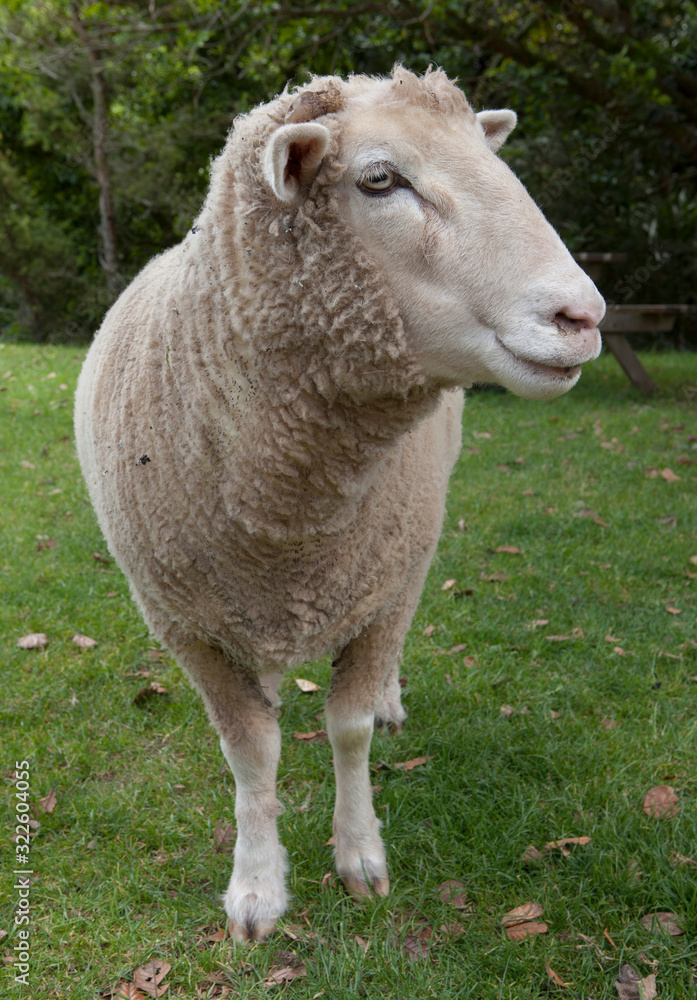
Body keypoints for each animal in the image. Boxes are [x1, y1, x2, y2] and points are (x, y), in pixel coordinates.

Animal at [75, 66, 604, 940]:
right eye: (379, 179)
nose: (582, 317)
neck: (287, 517)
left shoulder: (381, 590)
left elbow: (347, 728)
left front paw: (359, 855)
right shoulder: (185, 625)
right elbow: (250, 751)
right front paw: (257, 886)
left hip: (409, 551)